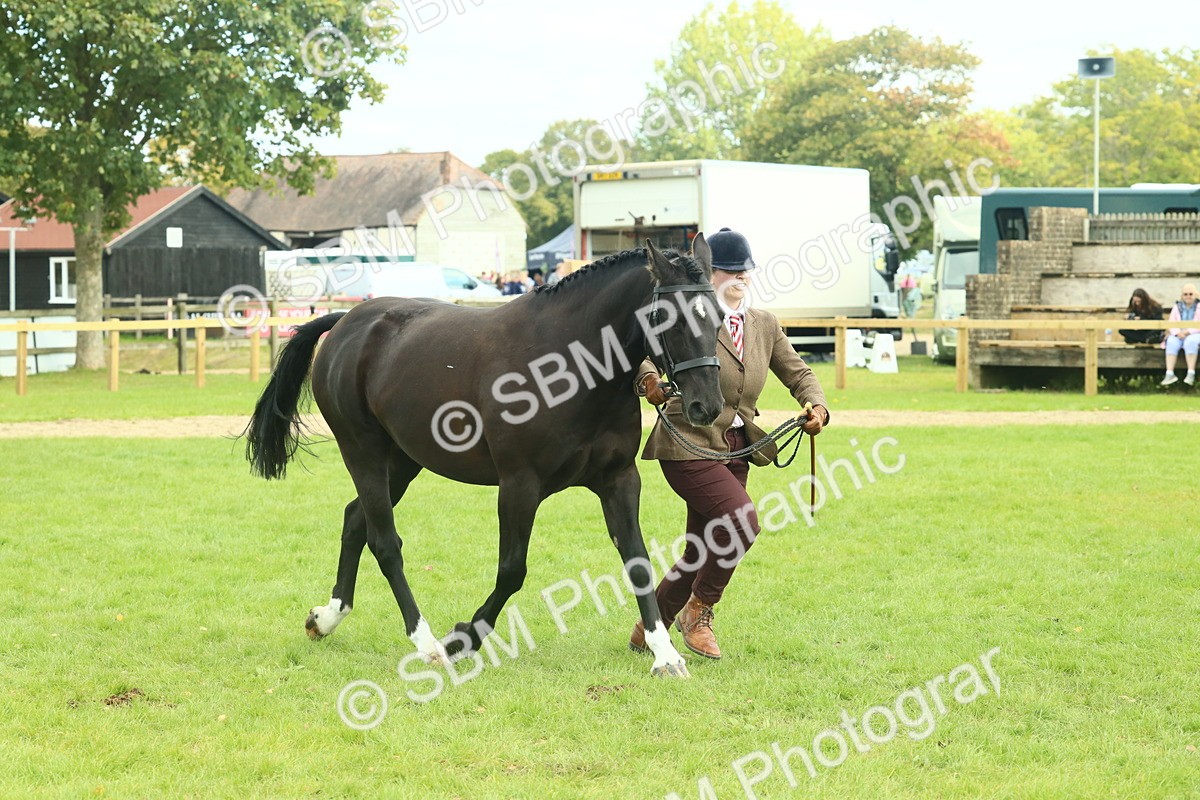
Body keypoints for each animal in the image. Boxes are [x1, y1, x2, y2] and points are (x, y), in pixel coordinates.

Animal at [245, 237, 724, 678]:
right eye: (669, 318)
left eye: (719, 317)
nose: (707, 406)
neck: (568, 367)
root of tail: (347, 322)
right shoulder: (519, 485)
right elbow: (512, 570)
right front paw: (462, 638)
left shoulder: (619, 480)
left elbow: (638, 561)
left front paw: (665, 655)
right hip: (362, 452)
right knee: (384, 543)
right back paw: (427, 645)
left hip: (401, 462)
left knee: (353, 521)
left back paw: (326, 618)